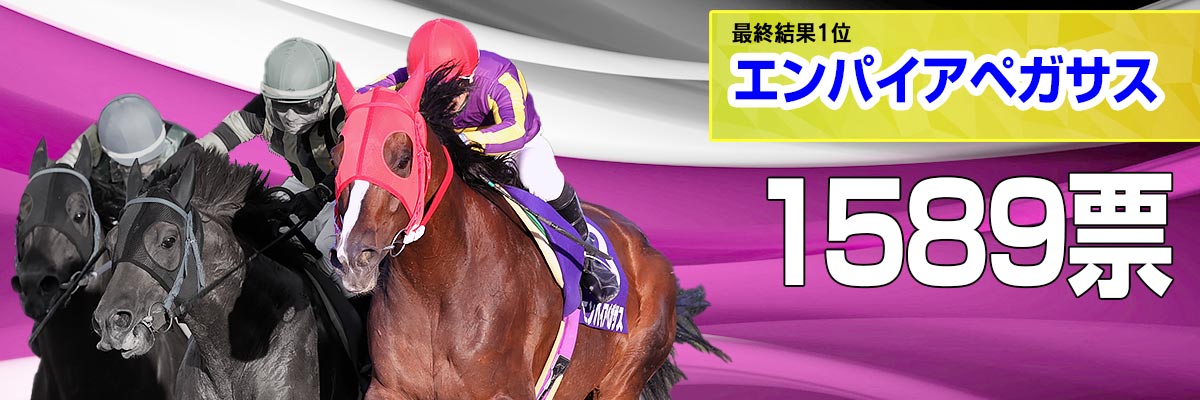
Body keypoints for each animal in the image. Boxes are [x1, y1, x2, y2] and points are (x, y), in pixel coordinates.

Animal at [328, 65, 728, 399]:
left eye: (403, 159)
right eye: (337, 157)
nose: (353, 257)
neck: (439, 286)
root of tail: (648, 250)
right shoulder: (390, 389)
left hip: (622, 381)